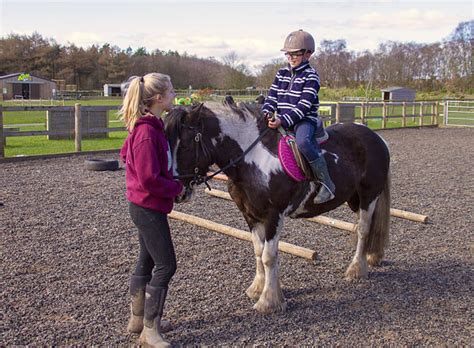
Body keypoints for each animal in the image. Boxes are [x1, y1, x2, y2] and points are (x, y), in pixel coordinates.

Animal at [165, 102, 390, 314]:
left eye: (184, 146)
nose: (177, 192)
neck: (253, 159)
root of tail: (376, 138)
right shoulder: (250, 215)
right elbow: (258, 250)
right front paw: (257, 288)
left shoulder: (273, 216)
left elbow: (269, 256)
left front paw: (268, 301)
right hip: (354, 200)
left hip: (369, 196)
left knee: (363, 230)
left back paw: (356, 269)